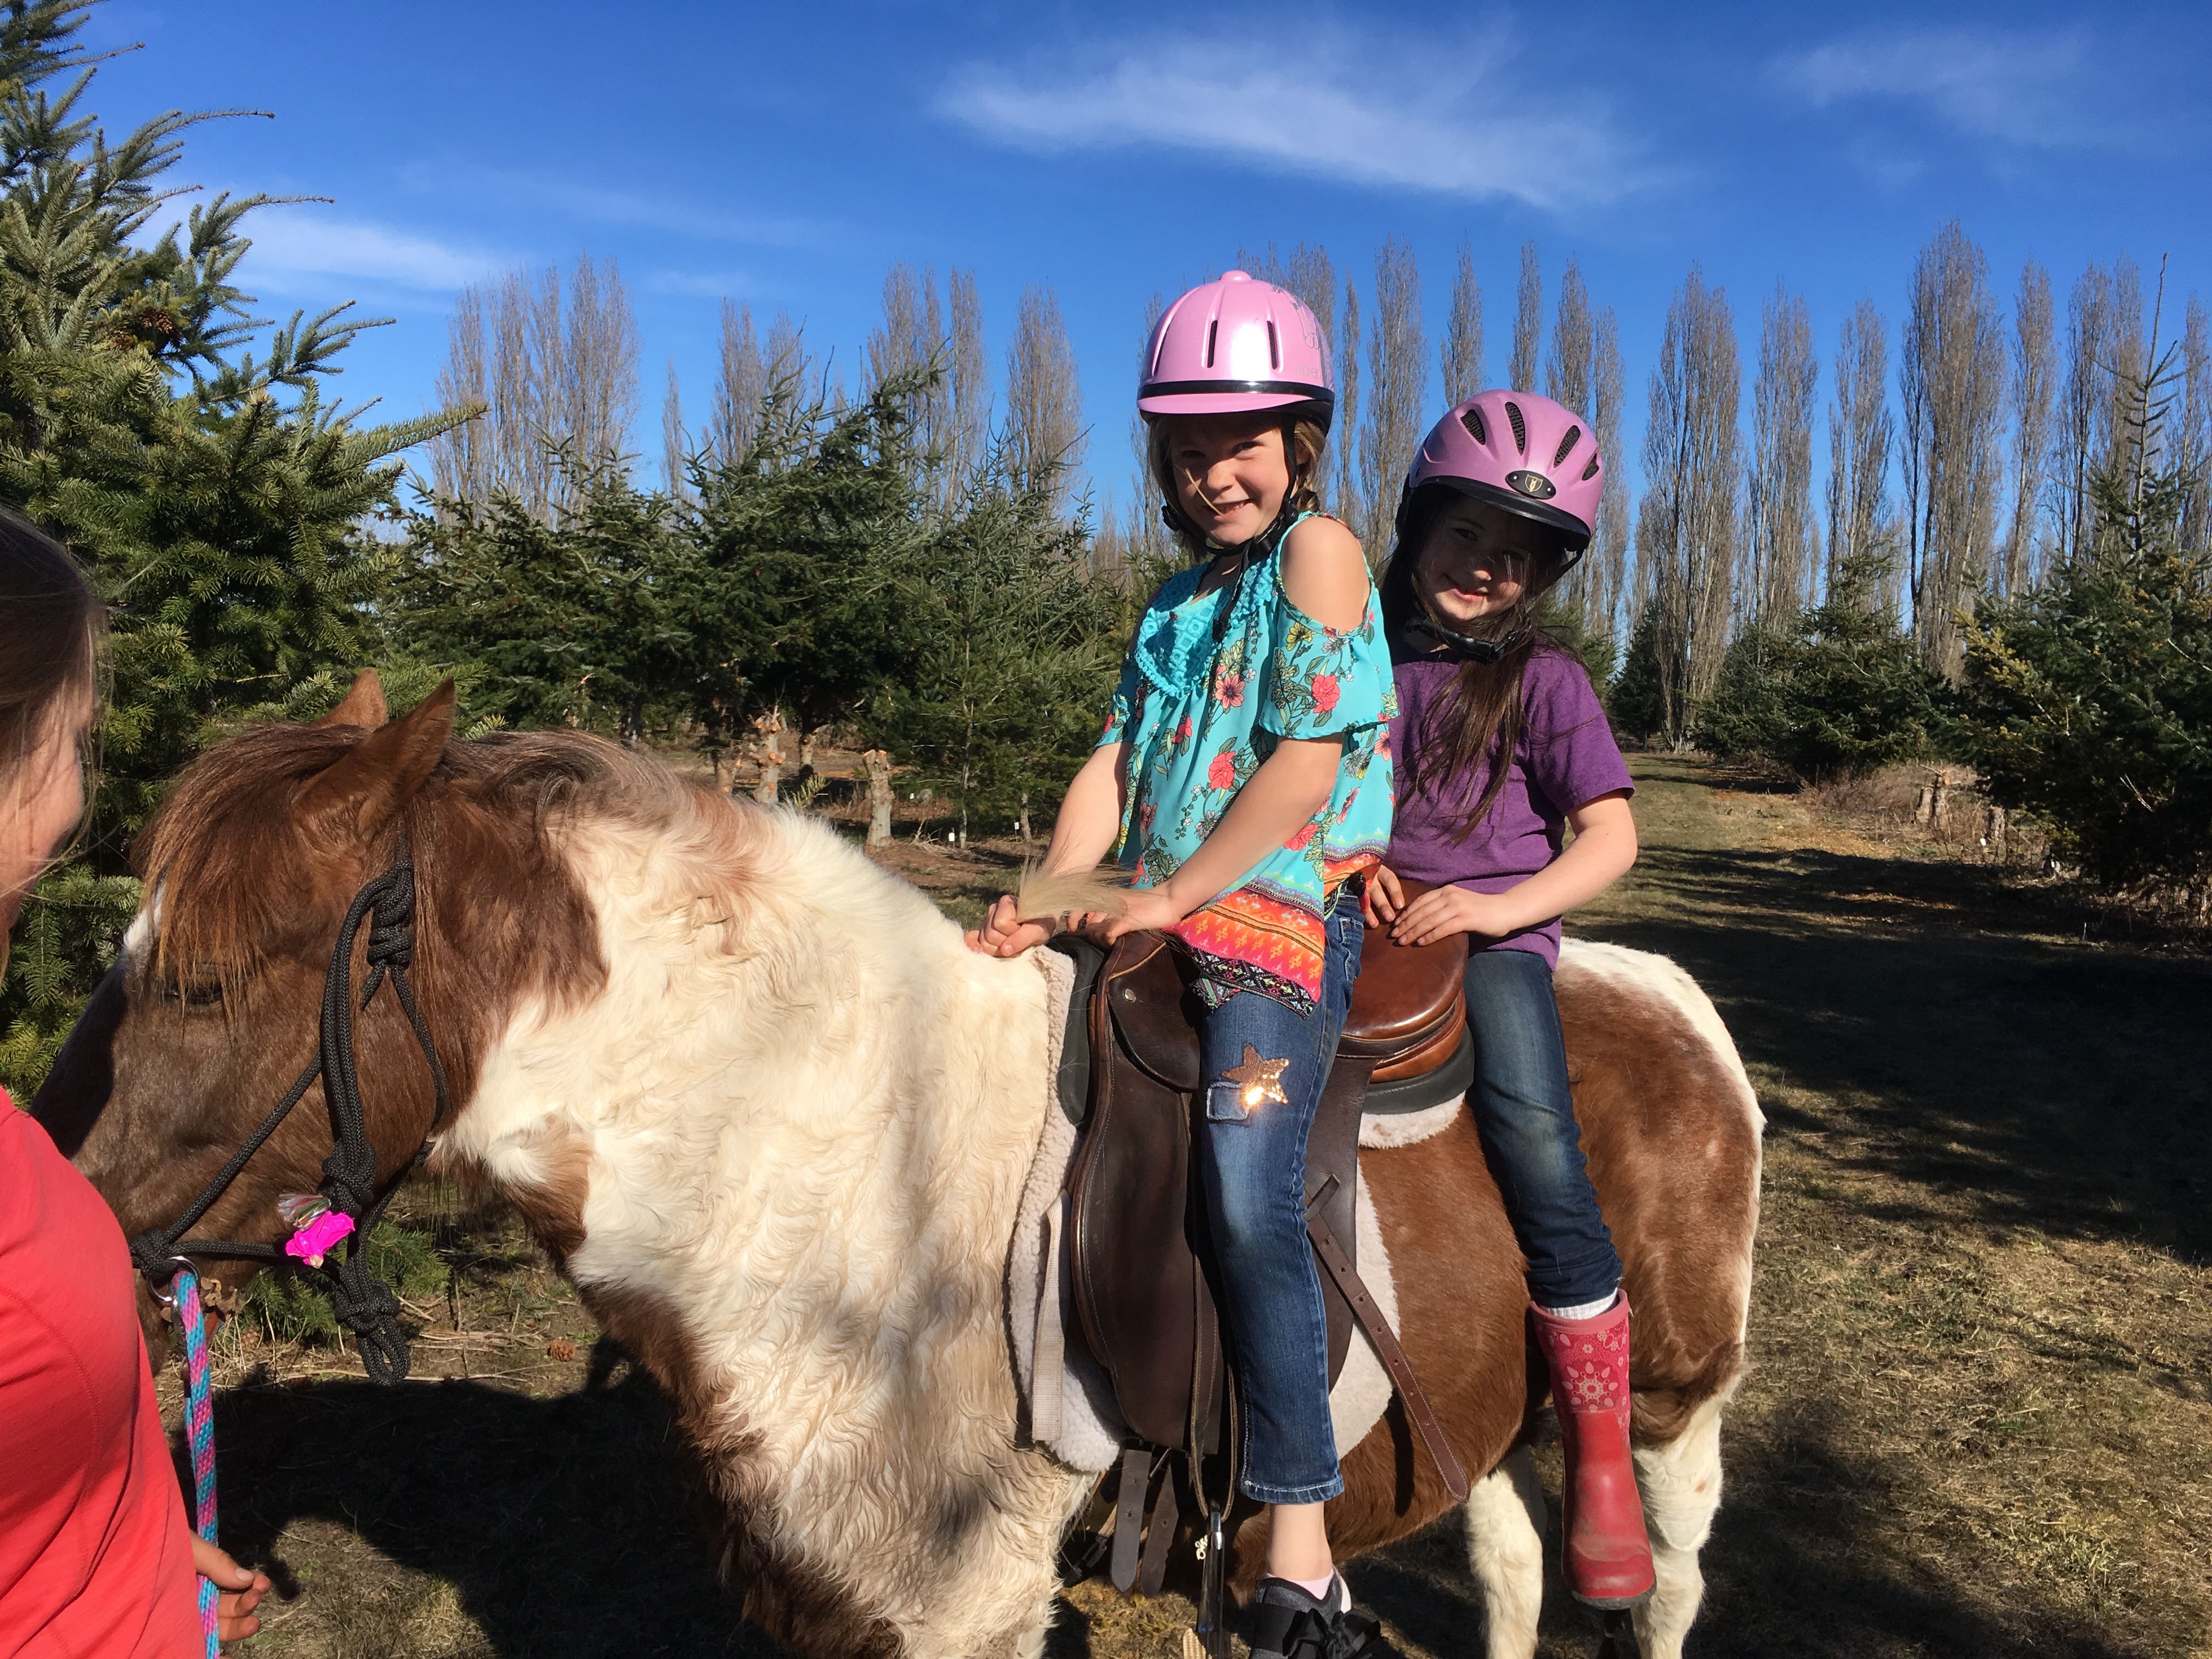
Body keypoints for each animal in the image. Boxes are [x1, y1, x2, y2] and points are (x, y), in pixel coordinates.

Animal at [33, 673, 1762, 1659]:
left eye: (203, 982)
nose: (75, 1218)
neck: (841, 1169)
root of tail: (1649, 989)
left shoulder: (964, 1602)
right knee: (1516, 1566)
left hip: (1674, 1404)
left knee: (1670, 1576)